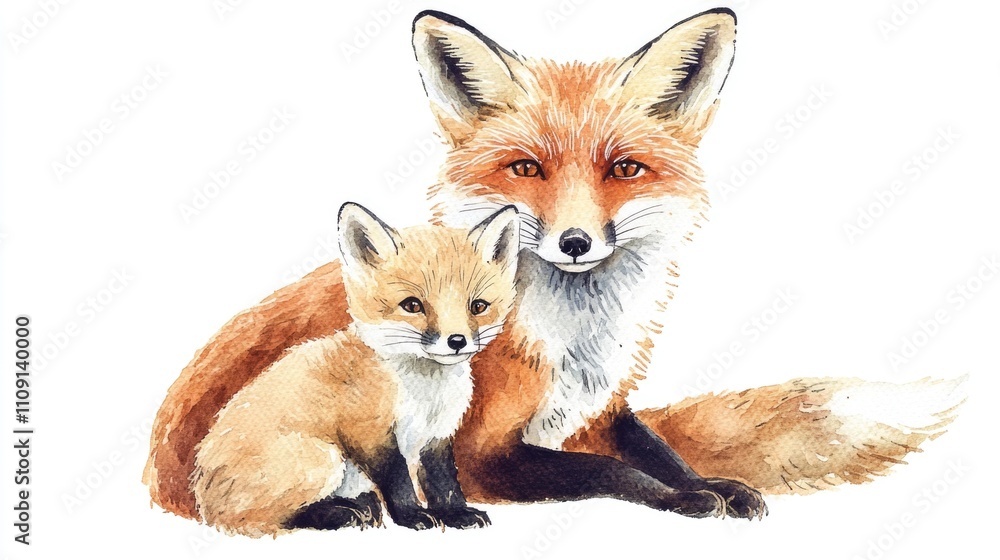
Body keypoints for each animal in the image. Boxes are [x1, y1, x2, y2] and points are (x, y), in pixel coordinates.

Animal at [190, 203, 520, 536]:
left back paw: (361, 507)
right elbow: (399, 481)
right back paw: (342, 514)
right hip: (322, 460)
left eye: (478, 306)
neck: (425, 394)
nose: (457, 341)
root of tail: (203, 498)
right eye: (412, 305)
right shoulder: (370, 431)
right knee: (261, 519)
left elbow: (444, 482)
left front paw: (456, 514)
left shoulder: (437, 435)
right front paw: (413, 516)